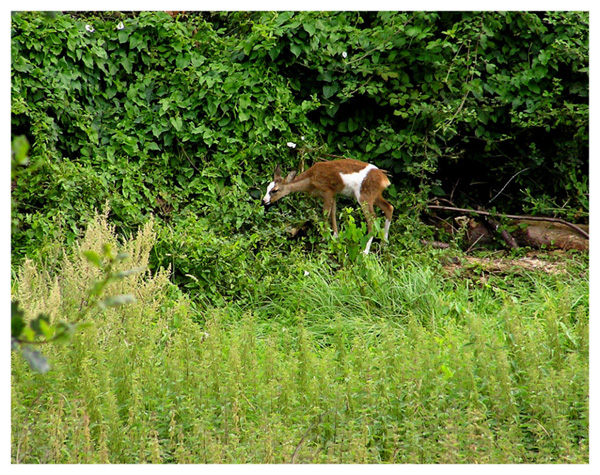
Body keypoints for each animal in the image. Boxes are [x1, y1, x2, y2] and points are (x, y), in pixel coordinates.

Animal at [262, 159, 394, 256]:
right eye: (267, 187)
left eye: (275, 190)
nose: (264, 201)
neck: (310, 180)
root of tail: (385, 180)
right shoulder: (334, 193)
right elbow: (333, 214)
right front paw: (335, 237)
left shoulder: (328, 190)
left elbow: (325, 214)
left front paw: (325, 240)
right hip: (374, 195)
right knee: (389, 207)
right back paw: (383, 245)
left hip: (364, 196)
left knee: (373, 220)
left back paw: (365, 252)